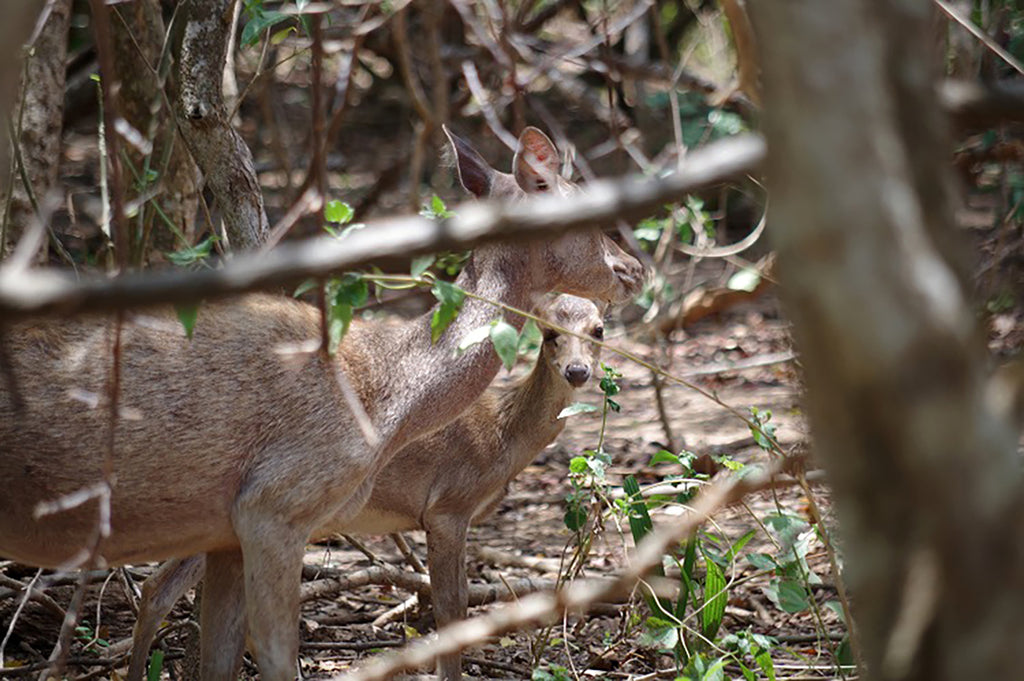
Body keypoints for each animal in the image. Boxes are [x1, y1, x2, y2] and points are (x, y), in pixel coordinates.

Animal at [128, 294, 606, 679]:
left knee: (158, 588)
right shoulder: (447, 506)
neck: (501, 434)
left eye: (598, 329)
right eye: (549, 333)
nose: (577, 371)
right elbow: (453, 607)